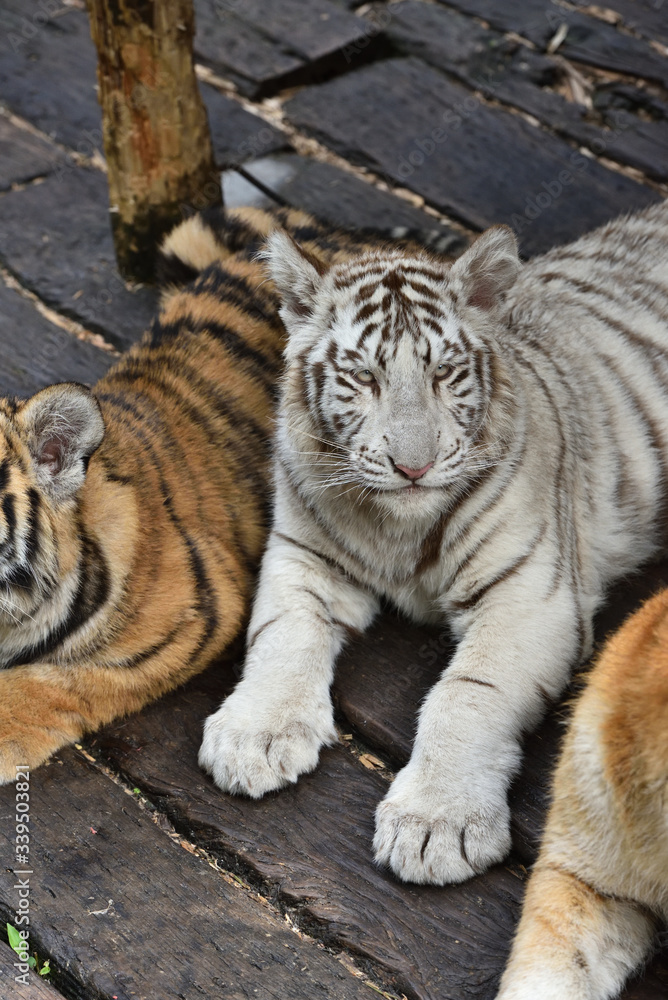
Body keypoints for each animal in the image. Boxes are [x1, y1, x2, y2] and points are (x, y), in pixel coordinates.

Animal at [199, 198, 668, 887]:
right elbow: (282, 634)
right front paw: (253, 736)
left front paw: (436, 823)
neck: (400, 527)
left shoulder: (530, 596)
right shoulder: (302, 554)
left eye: (445, 374)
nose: (413, 467)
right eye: (362, 378)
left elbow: (468, 693)